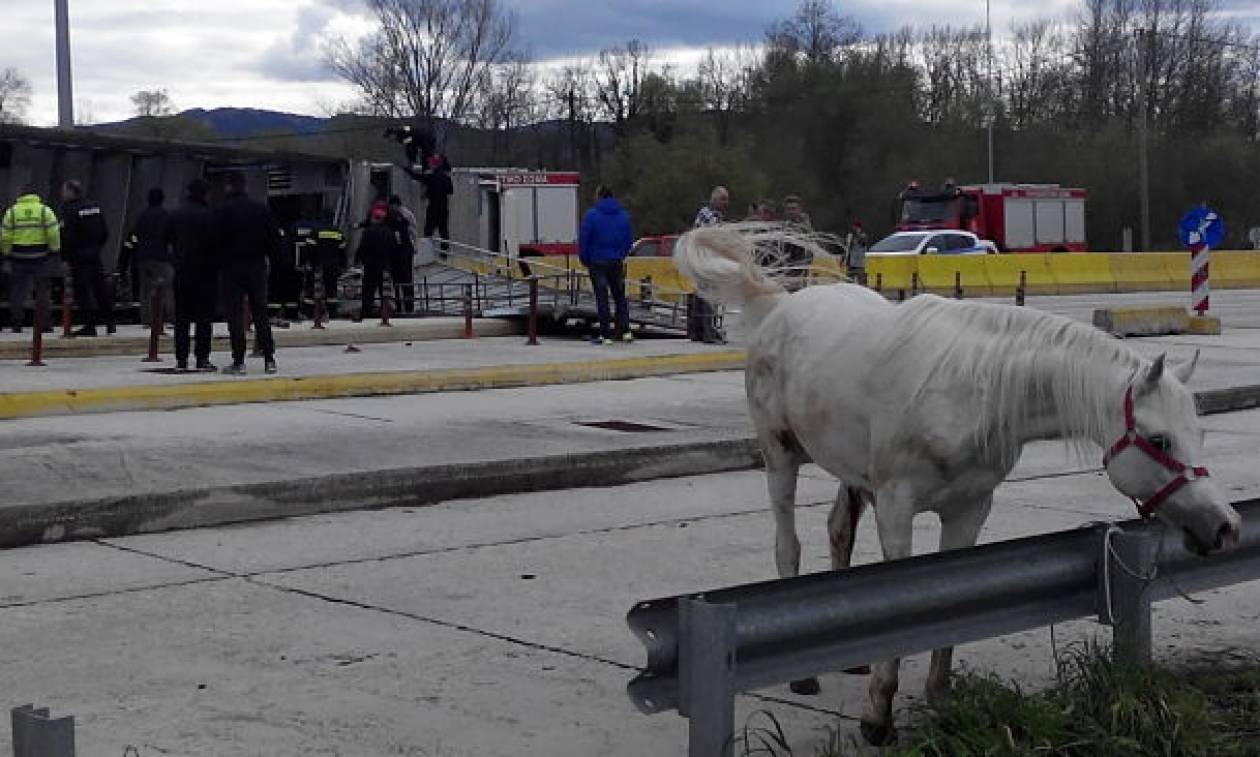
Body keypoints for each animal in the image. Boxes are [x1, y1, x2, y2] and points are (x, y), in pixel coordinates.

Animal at [675, 224, 1244, 745]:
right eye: (1160, 439)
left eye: (1198, 433)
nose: (1224, 527)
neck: (974, 391)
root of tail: (780, 307)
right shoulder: (896, 506)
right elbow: (897, 603)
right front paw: (878, 716)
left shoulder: (969, 509)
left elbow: (949, 603)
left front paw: (939, 699)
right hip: (781, 457)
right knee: (788, 543)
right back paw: (804, 676)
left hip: (852, 473)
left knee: (838, 530)